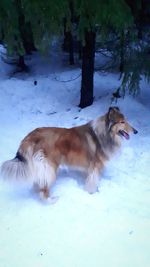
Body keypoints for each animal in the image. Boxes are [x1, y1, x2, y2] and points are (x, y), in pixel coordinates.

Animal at [0, 105, 138, 202]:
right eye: (122, 122)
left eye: (126, 120)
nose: (136, 131)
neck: (104, 133)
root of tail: (31, 136)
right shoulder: (95, 166)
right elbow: (92, 181)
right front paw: (92, 193)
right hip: (49, 167)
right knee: (44, 189)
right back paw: (51, 199)